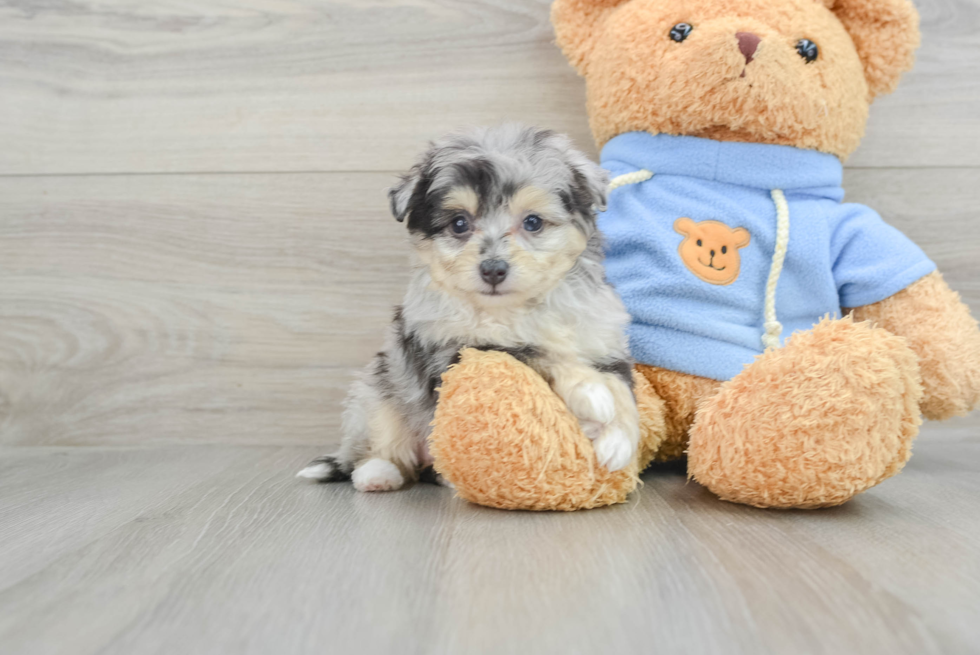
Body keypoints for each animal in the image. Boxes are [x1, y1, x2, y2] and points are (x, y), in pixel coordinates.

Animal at [294, 124, 640, 492]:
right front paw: (592, 393)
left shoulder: (603, 341)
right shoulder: (455, 350)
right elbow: (534, 352)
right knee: (381, 444)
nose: (493, 270)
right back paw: (377, 474)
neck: (518, 308)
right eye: (459, 223)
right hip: (378, 388)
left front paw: (619, 440)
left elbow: (622, 388)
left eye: (533, 222)